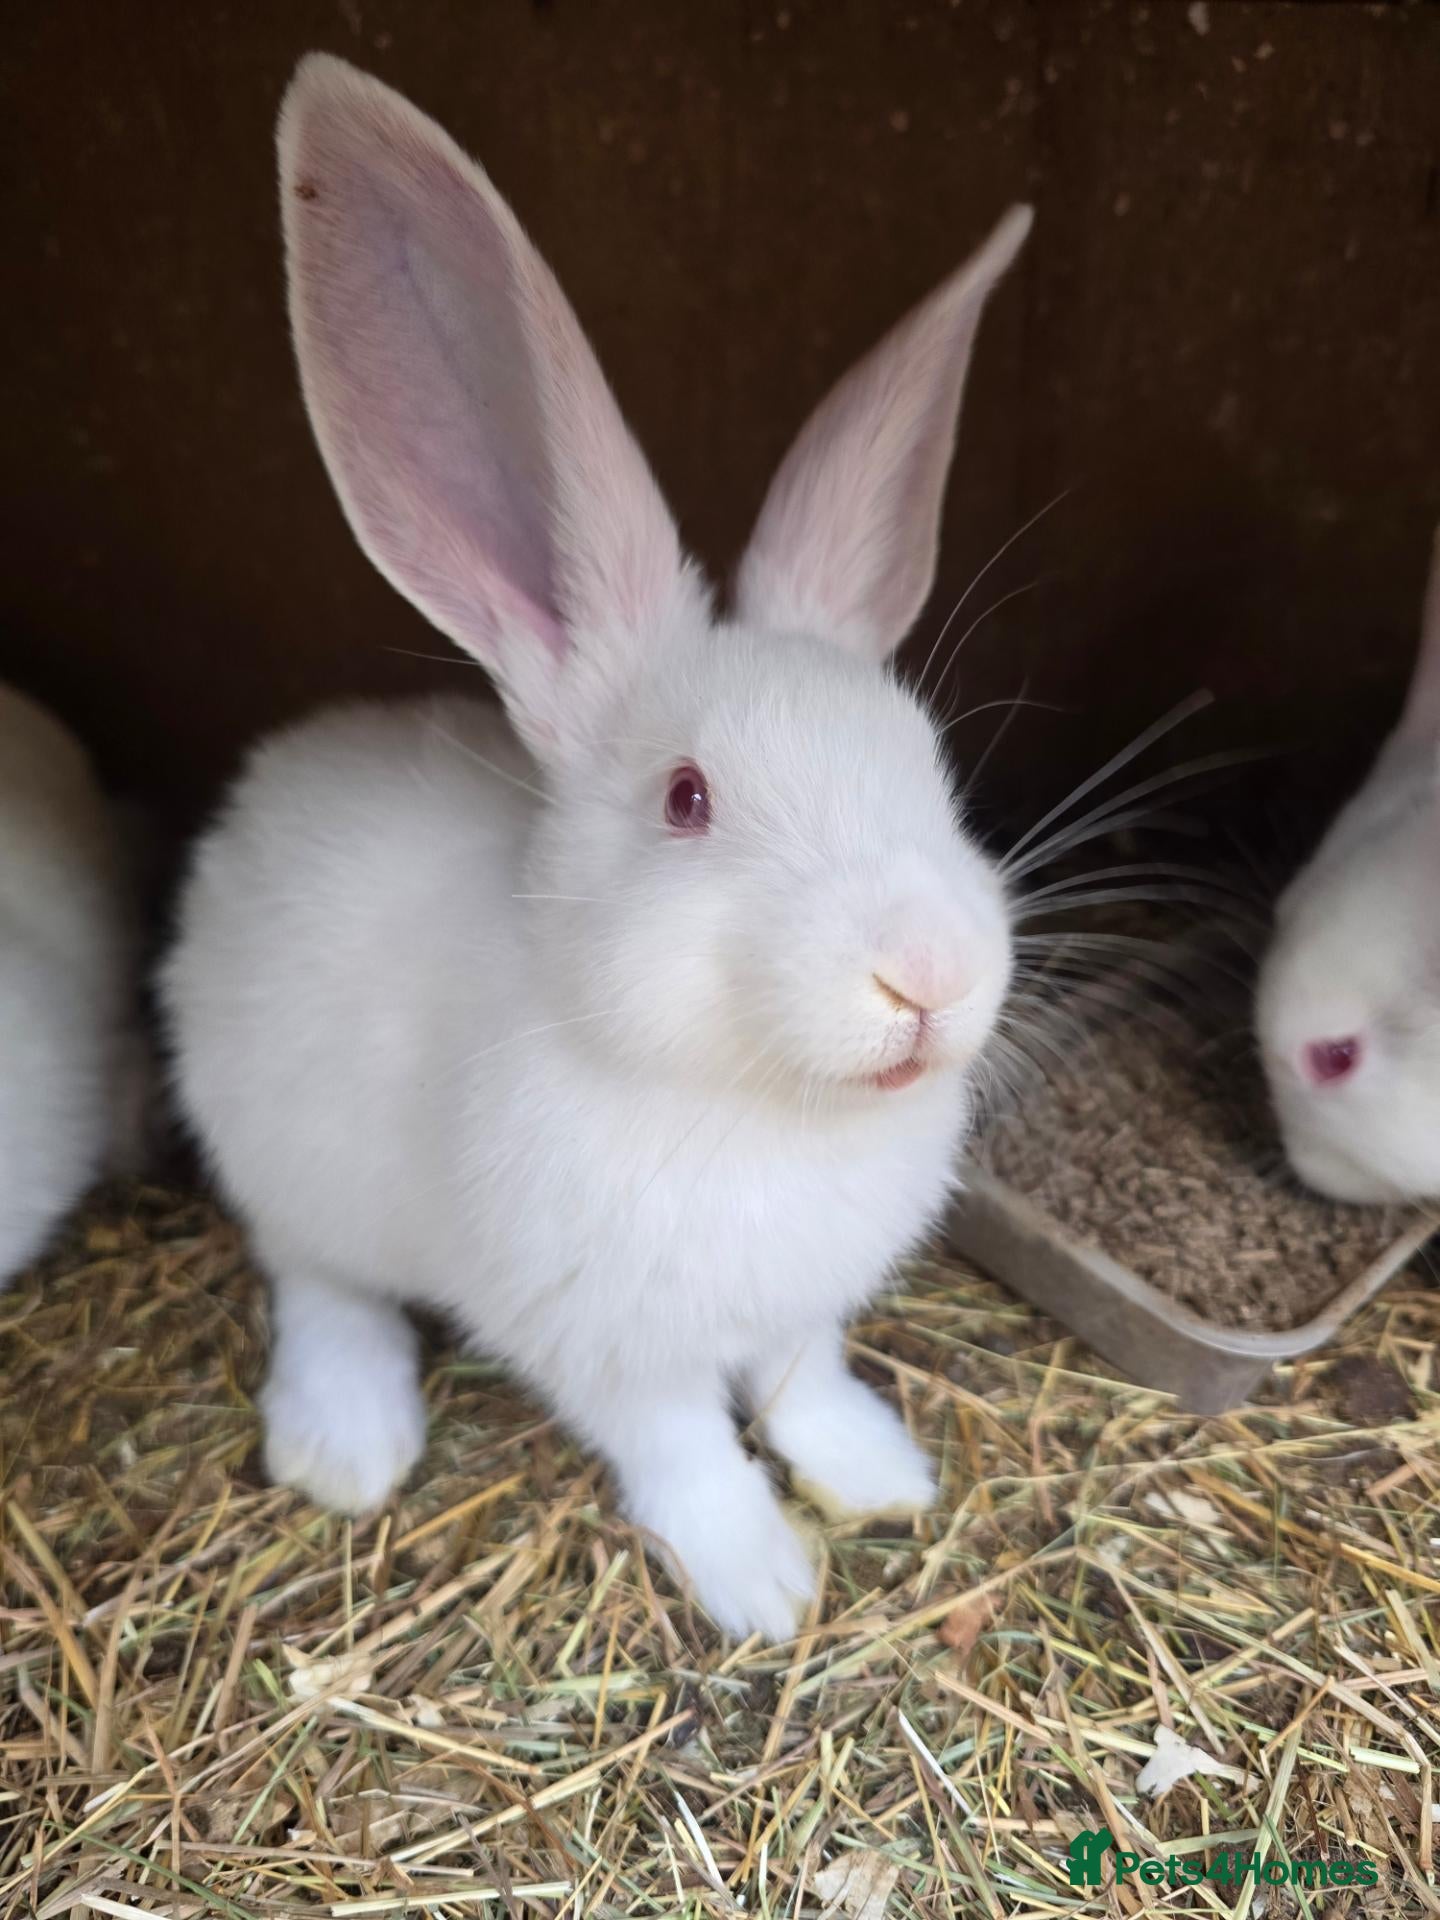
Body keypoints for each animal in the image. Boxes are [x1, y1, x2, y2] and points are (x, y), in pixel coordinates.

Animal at [161, 52, 1028, 1639]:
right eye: (686, 799)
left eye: (931, 768)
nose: (929, 975)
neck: (756, 1105)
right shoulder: (606, 1345)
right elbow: (685, 1446)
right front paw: (764, 1582)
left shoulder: (801, 1312)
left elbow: (804, 1383)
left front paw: (882, 1478)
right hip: (277, 1151)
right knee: (317, 1279)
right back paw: (347, 1446)